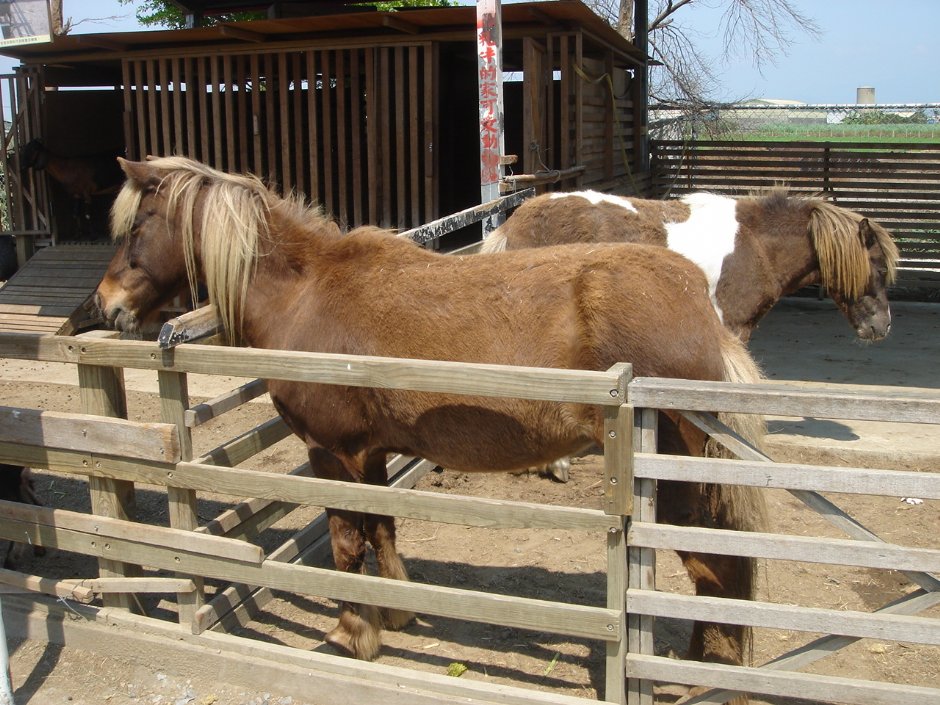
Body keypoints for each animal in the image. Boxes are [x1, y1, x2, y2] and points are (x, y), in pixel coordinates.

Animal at [94, 156, 767, 700]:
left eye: (136, 226)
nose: (105, 304)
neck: (305, 295)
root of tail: (700, 307)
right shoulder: (371, 455)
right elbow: (382, 530)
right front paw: (395, 613)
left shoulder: (331, 455)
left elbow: (346, 543)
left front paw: (353, 633)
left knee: (716, 569)